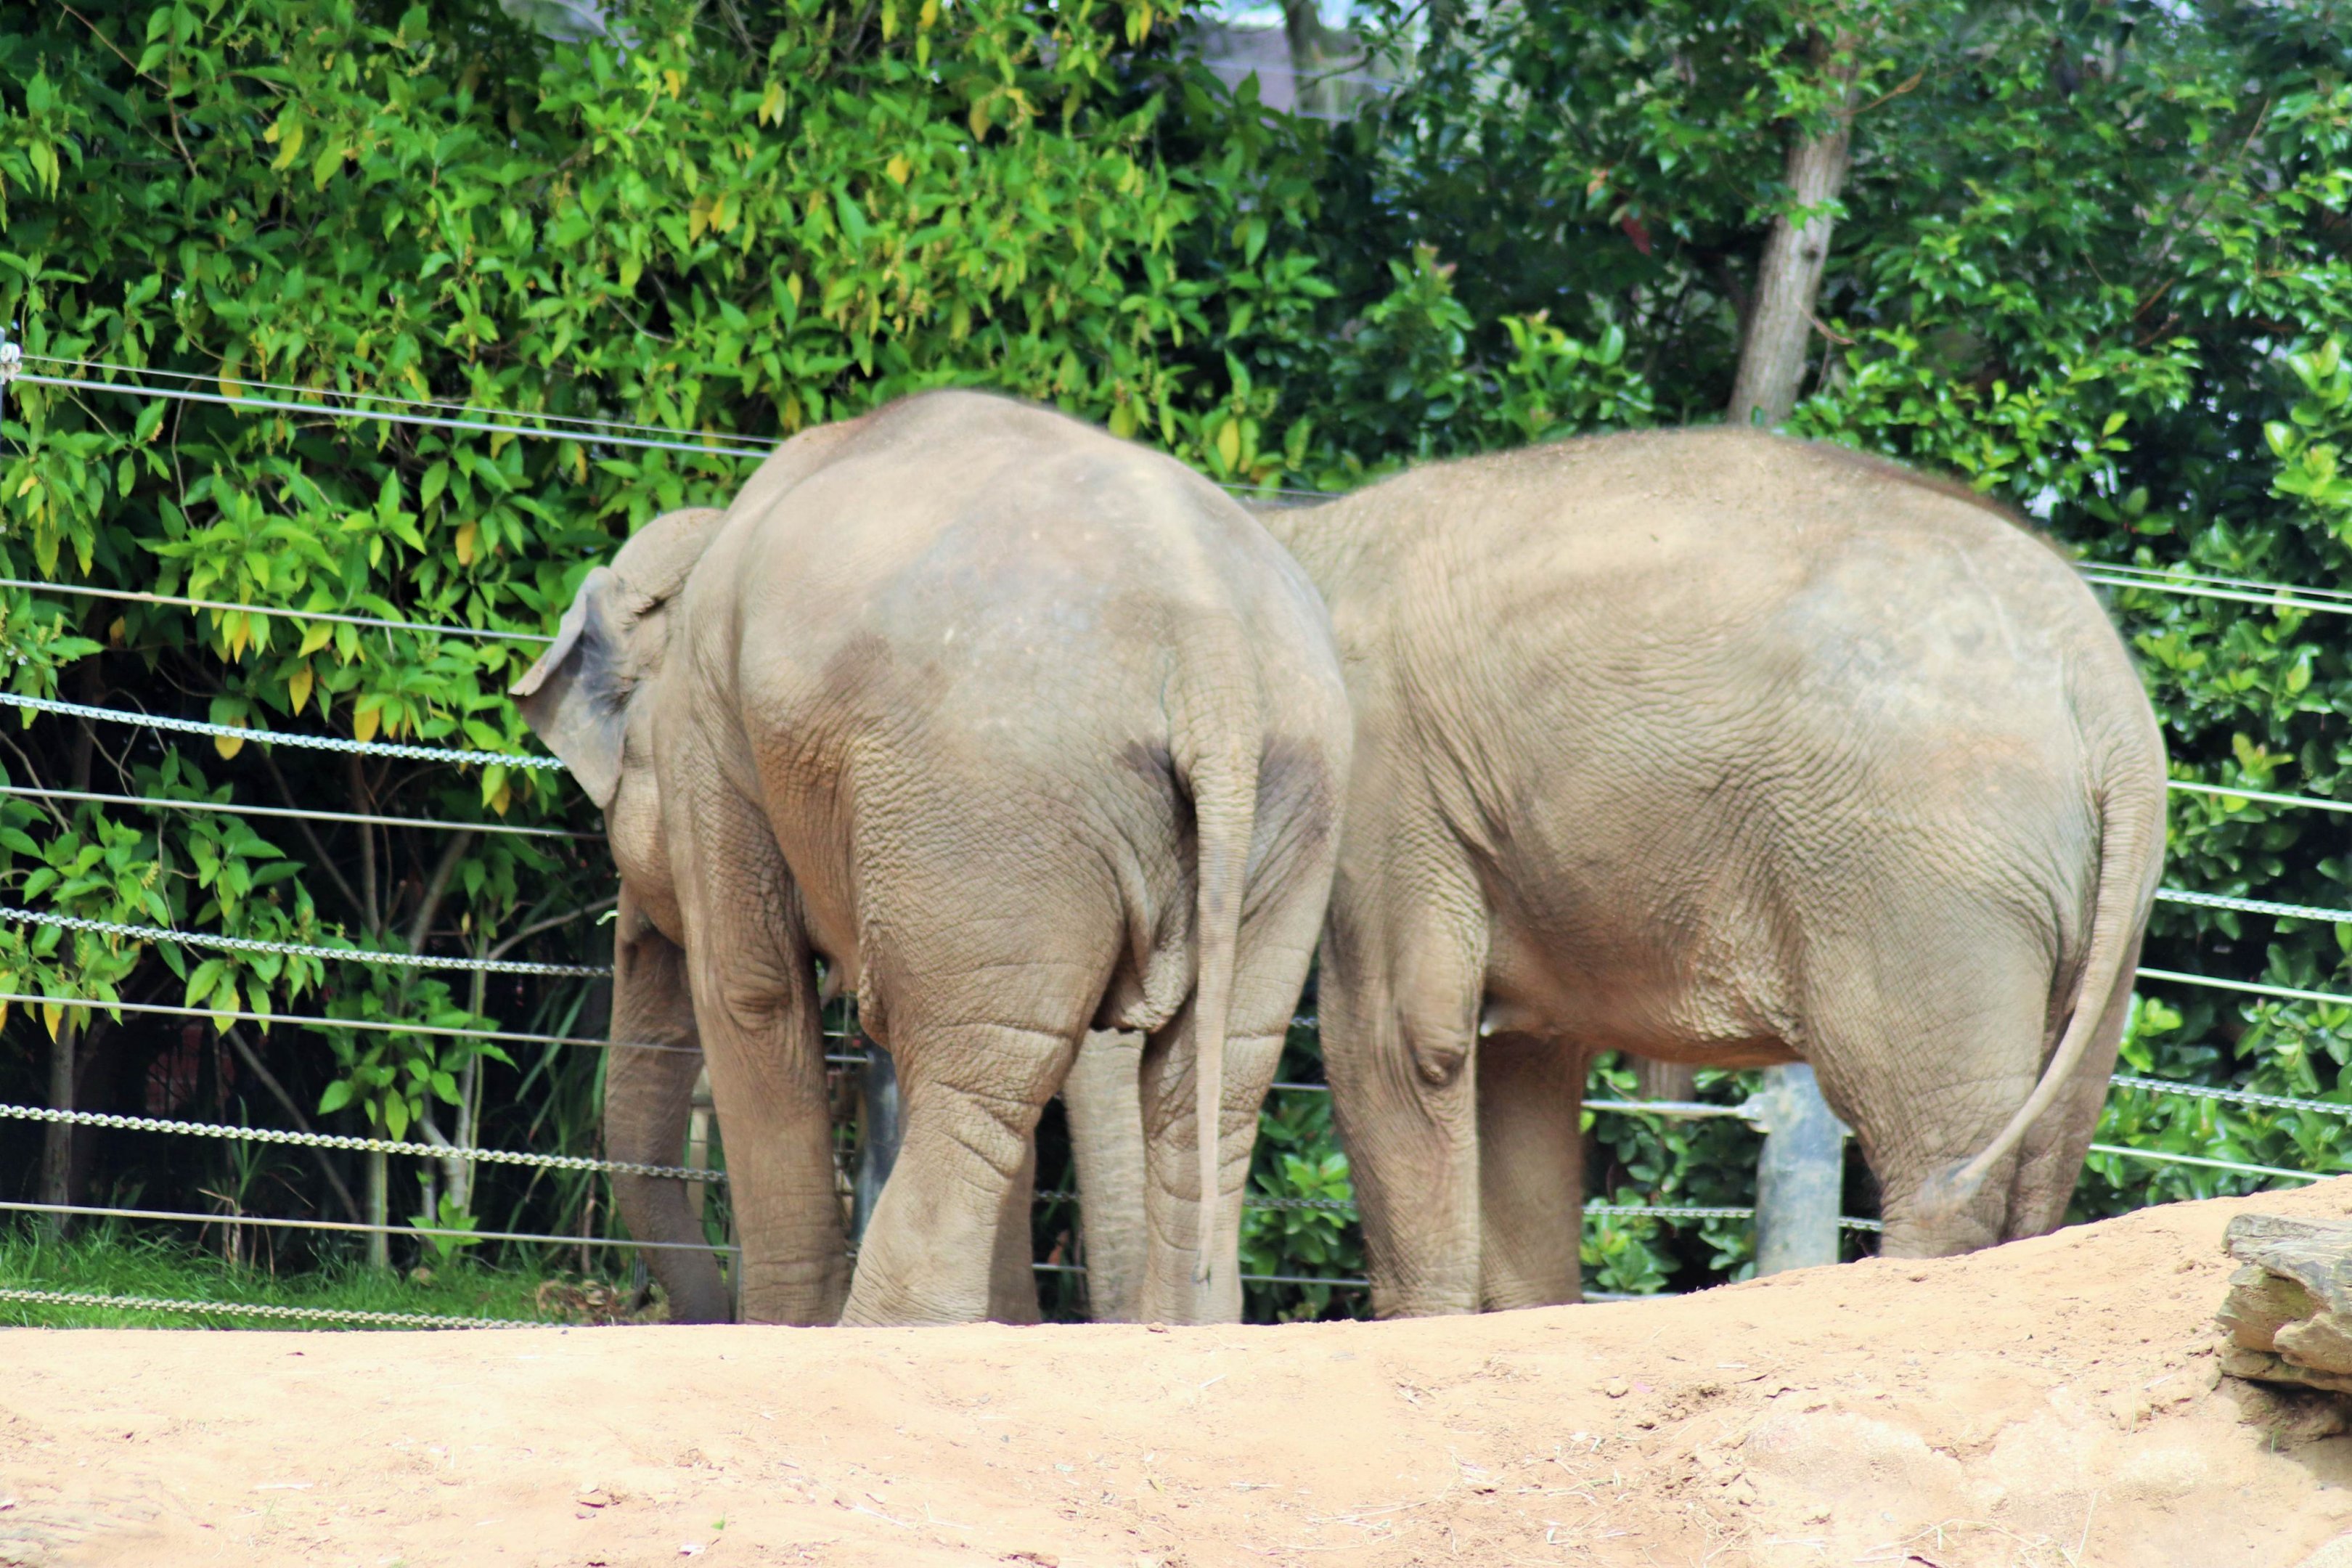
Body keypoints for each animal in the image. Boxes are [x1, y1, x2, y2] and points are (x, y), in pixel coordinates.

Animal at [513, 388, 1350, 1327]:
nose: (668, 1306)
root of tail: (1213, 655)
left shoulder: (710, 741)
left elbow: (751, 993)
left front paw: (784, 1332)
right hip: (1285, 804)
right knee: (1210, 1075)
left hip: (999, 799)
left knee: (976, 1082)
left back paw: (889, 1329)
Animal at [1240, 427, 2166, 1317]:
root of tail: (2106, 689)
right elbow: (1519, 1075)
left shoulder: (1386, 779)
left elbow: (1408, 1037)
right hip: (2098, 908)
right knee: (2047, 1152)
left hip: (1923, 866)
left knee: (1940, 1143)